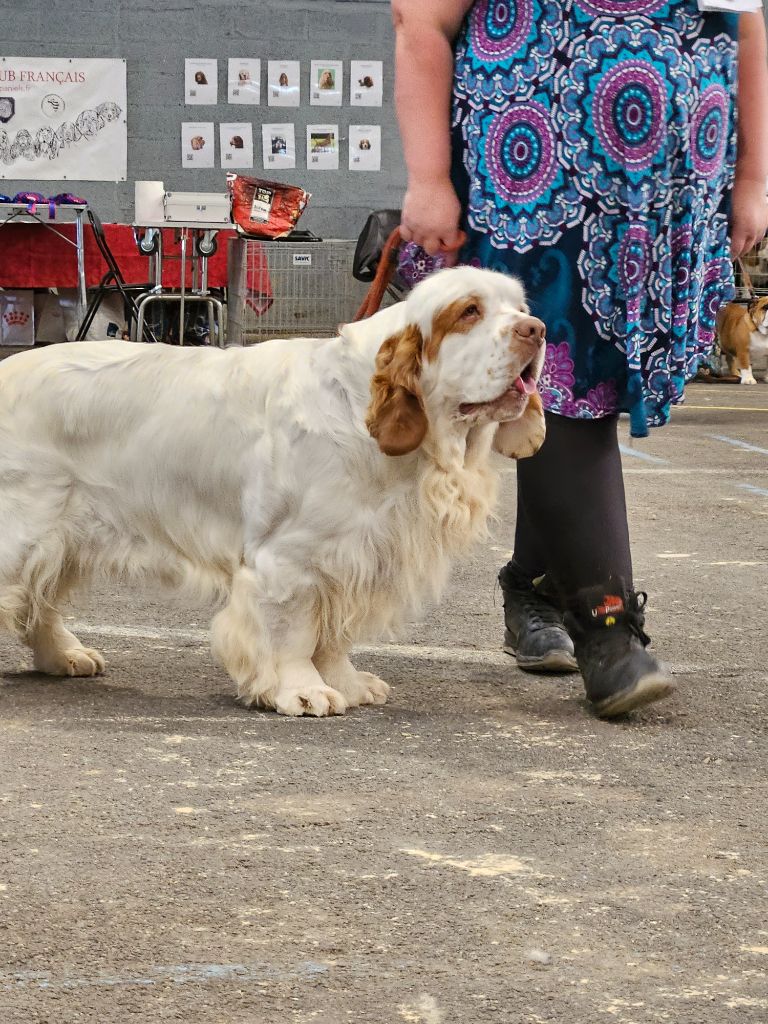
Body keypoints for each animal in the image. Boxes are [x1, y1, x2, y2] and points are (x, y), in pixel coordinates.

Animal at [0, 268, 548, 716]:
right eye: (469, 311)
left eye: (520, 307)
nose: (537, 329)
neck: (358, 409)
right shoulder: (290, 560)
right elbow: (294, 633)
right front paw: (302, 691)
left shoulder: (353, 554)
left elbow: (334, 637)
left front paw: (347, 683)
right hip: (25, 531)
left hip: (65, 534)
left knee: (39, 602)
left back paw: (65, 655)